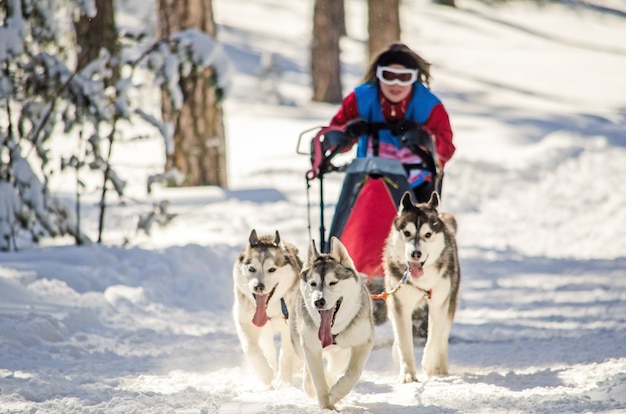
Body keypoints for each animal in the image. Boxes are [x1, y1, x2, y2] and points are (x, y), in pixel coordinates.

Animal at [234, 230, 302, 384]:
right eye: (251, 269)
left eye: (272, 269)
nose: (258, 286)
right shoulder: (244, 321)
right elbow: (250, 347)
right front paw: (264, 372)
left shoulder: (289, 325)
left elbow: (286, 355)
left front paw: (283, 381)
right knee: (267, 348)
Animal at [290, 238, 372, 410]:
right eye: (313, 283)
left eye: (333, 282)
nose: (318, 301)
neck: (333, 332)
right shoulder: (310, 346)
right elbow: (318, 379)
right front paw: (326, 406)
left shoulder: (363, 341)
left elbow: (353, 373)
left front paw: (334, 394)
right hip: (299, 342)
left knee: (336, 365)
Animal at [380, 192, 458, 384]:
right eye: (407, 233)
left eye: (428, 234)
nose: (416, 254)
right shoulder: (399, 305)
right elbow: (404, 342)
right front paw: (408, 373)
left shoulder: (439, 303)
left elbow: (434, 338)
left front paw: (429, 364)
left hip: (451, 300)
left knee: (443, 336)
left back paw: (440, 367)